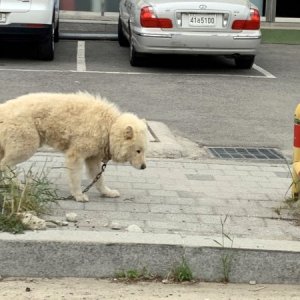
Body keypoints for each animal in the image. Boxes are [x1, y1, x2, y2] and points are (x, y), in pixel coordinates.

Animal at [0, 92, 146, 202]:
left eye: (144, 151)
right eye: (138, 151)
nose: (144, 167)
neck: (108, 126)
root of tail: (3, 109)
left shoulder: (92, 160)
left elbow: (99, 180)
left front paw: (107, 192)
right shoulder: (76, 155)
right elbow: (76, 177)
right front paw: (78, 195)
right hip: (26, 146)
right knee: (4, 165)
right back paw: (15, 184)